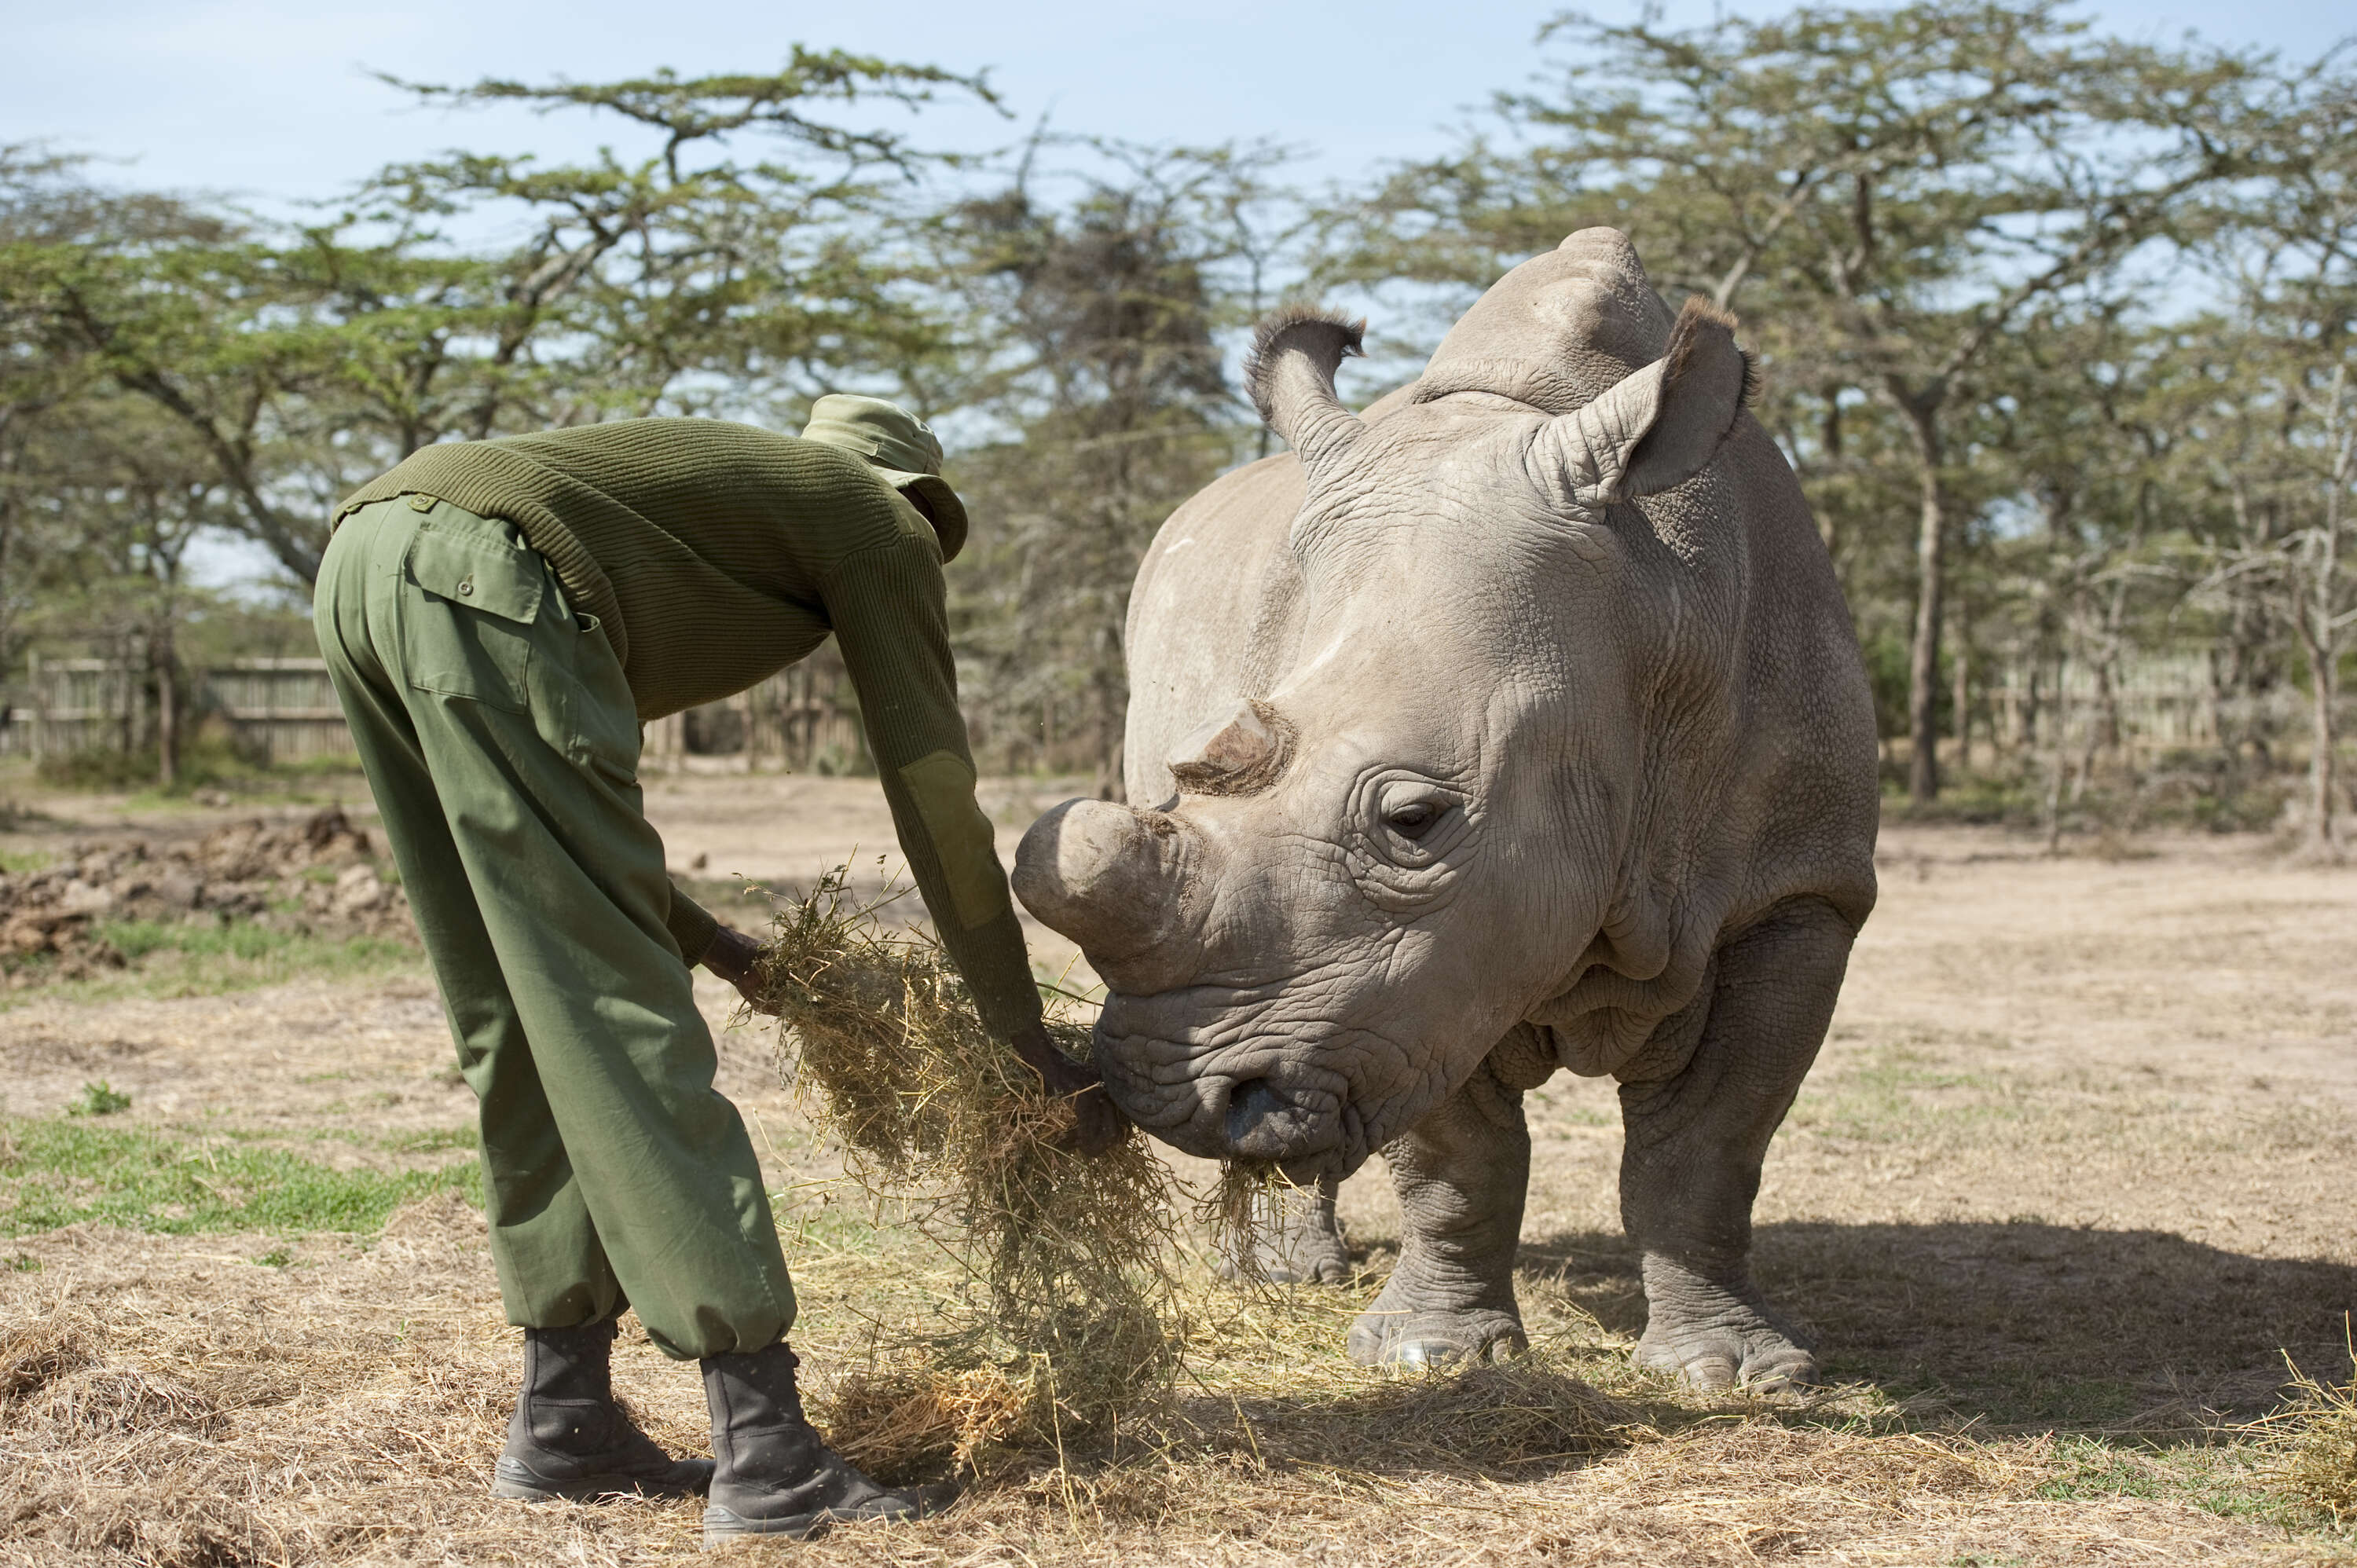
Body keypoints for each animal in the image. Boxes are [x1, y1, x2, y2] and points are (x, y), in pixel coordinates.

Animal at [1014, 229, 1876, 1386]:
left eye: (1414, 820)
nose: (1169, 1096)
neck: (1647, 622)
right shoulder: (1402, 981)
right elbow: (1455, 1154)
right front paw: (1430, 1355)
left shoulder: (1801, 891)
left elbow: (1710, 1144)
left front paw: (1737, 1373)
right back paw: (1289, 1277)